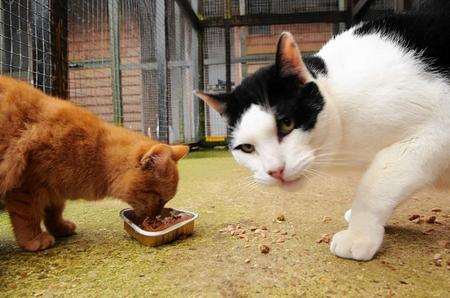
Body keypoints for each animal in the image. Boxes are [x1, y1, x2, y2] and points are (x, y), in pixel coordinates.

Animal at [0, 76, 189, 251]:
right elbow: (27, 218)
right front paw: (34, 239)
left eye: (165, 201)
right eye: (160, 198)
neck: (96, 152)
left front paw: (60, 227)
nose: (156, 216)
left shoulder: (54, 189)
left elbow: (54, 211)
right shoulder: (26, 188)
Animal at [196, 5, 450, 260]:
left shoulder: (434, 134)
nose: (275, 171)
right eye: (247, 148)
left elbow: (376, 184)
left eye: (287, 124)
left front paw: (358, 234)